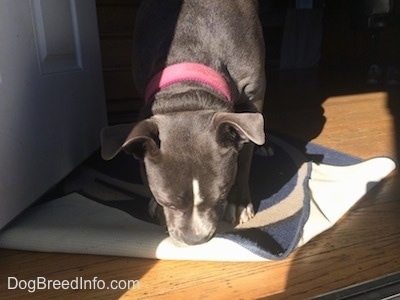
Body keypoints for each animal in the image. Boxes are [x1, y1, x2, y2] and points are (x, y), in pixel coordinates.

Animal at [100, 0, 266, 245]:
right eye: (165, 201)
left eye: (222, 196)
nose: (195, 239)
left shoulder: (254, 94)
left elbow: (245, 155)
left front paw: (239, 202)